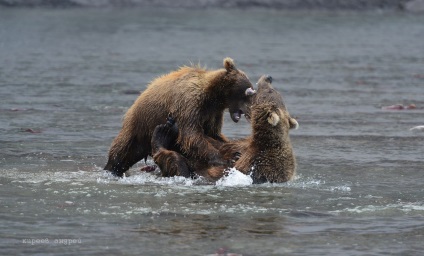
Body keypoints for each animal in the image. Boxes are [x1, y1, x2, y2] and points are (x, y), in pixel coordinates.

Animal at [105, 57, 255, 177]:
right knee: (121, 152)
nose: (251, 111)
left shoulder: (213, 113)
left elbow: (213, 133)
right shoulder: (188, 103)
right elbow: (191, 135)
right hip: (139, 126)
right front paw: (224, 158)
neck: (213, 96)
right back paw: (111, 169)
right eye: (248, 92)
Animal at [150, 75, 298, 183]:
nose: (268, 78)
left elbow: (224, 168)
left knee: (175, 162)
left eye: (270, 91)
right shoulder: (242, 145)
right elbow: (221, 145)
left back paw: (161, 134)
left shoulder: (256, 162)